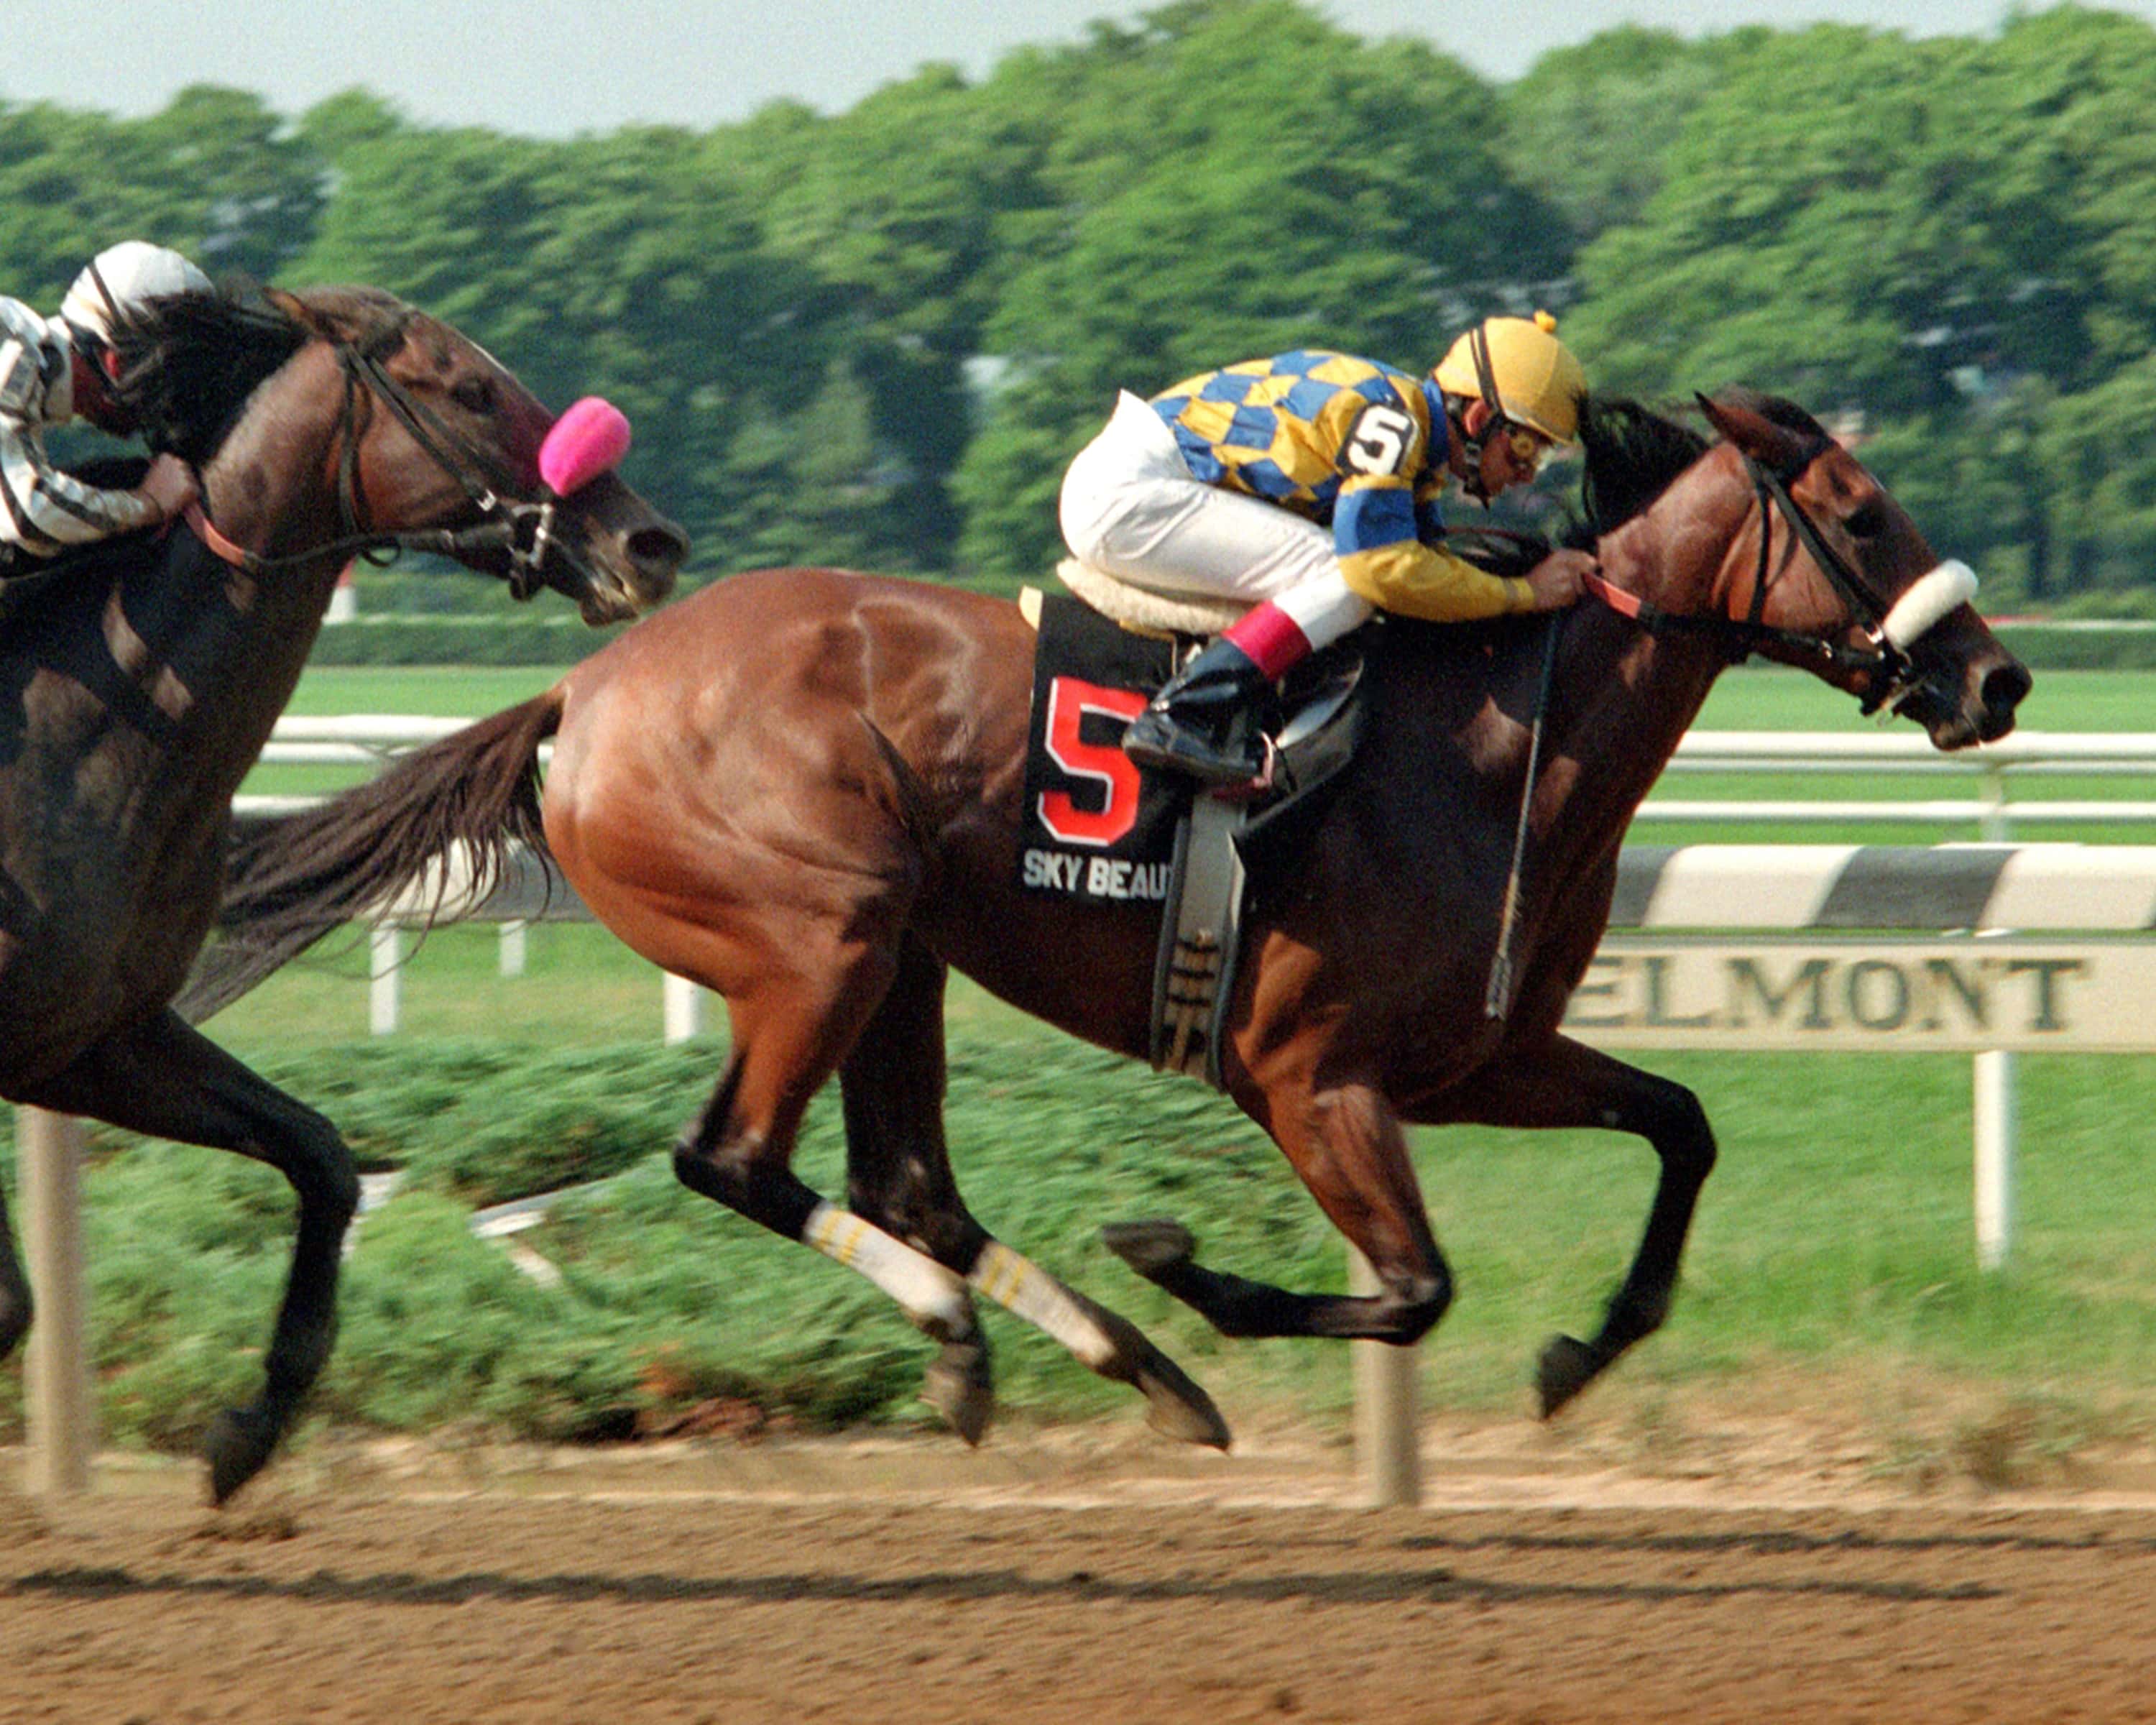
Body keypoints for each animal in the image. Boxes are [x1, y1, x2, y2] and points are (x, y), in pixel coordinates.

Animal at [0, 281, 686, 1502]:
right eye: (471, 389)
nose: (649, 542)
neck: (87, 727)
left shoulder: (90, 1038)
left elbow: (321, 1158)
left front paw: (249, 1427)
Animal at [188, 389, 2028, 1452]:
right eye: (1858, 516)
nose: (1996, 677)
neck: (1504, 732)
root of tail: (587, 688)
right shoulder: (1309, 1073)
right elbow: (1410, 1285)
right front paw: (1187, 1261)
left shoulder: (1472, 1057)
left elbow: (1681, 1125)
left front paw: (1580, 1352)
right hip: (818, 937)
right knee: (737, 1160)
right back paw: (1011, 1341)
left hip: (902, 952)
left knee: (901, 1182)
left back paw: (1129, 1366)